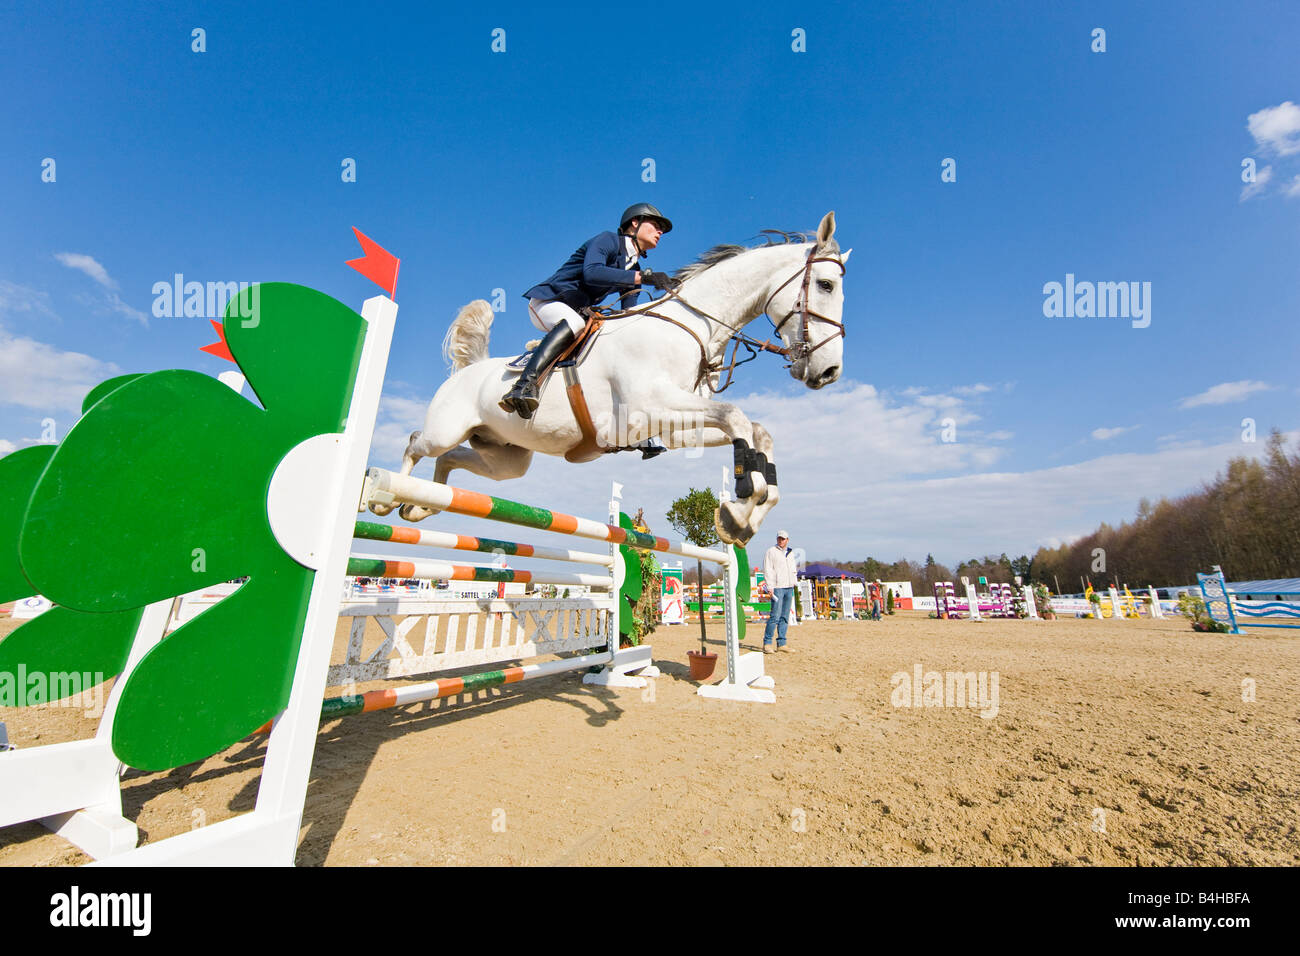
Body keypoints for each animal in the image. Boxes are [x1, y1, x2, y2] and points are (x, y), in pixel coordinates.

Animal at [371, 210, 847, 541]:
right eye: (825, 285)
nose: (829, 372)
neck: (688, 327)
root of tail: (471, 370)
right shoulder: (651, 405)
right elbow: (737, 417)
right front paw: (743, 497)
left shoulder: (672, 426)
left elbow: (758, 433)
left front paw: (739, 519)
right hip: (447, 428)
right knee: (417, 443)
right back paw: (387, 496)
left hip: (506, 458)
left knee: (451, 460)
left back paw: (420, 507)